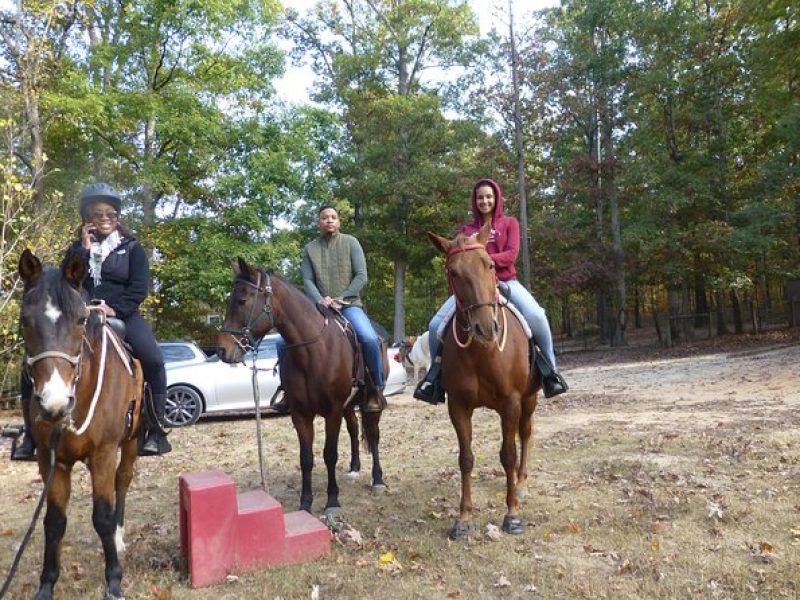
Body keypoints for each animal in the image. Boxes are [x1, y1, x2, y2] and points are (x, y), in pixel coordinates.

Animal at [16, 250, 143, 600]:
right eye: (25, 321)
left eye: (80, 320)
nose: (55, 403)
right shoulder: (52, 461)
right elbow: (54, 521)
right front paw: (46, 584)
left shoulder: (103, 454)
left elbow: (103, 516)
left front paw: (114, 581)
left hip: (130, 443)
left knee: (122, 483)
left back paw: (119, 537)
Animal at [216, 260, 384, 516]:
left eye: (242, 300)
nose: (222, 350)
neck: (314, 352)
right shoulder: (300, 414)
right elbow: (306, 458)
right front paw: (305, 503)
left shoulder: (332, 412)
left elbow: (329, 455)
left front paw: (332, 502)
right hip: (348, 406)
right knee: (355, 430)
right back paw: (354, 468)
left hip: (370, 404)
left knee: (373, 435)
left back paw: (378, 479)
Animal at [428, 223, 540, 540]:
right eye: (453, 272)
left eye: (489, 264)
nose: (486, 327)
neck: (482, 352)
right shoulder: (458, 406)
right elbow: (466, 458)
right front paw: (464, 518)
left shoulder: (511, 402)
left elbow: (508, 455)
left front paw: (512, 514)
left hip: (529, 399)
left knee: (525, 434)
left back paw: (521, 484)